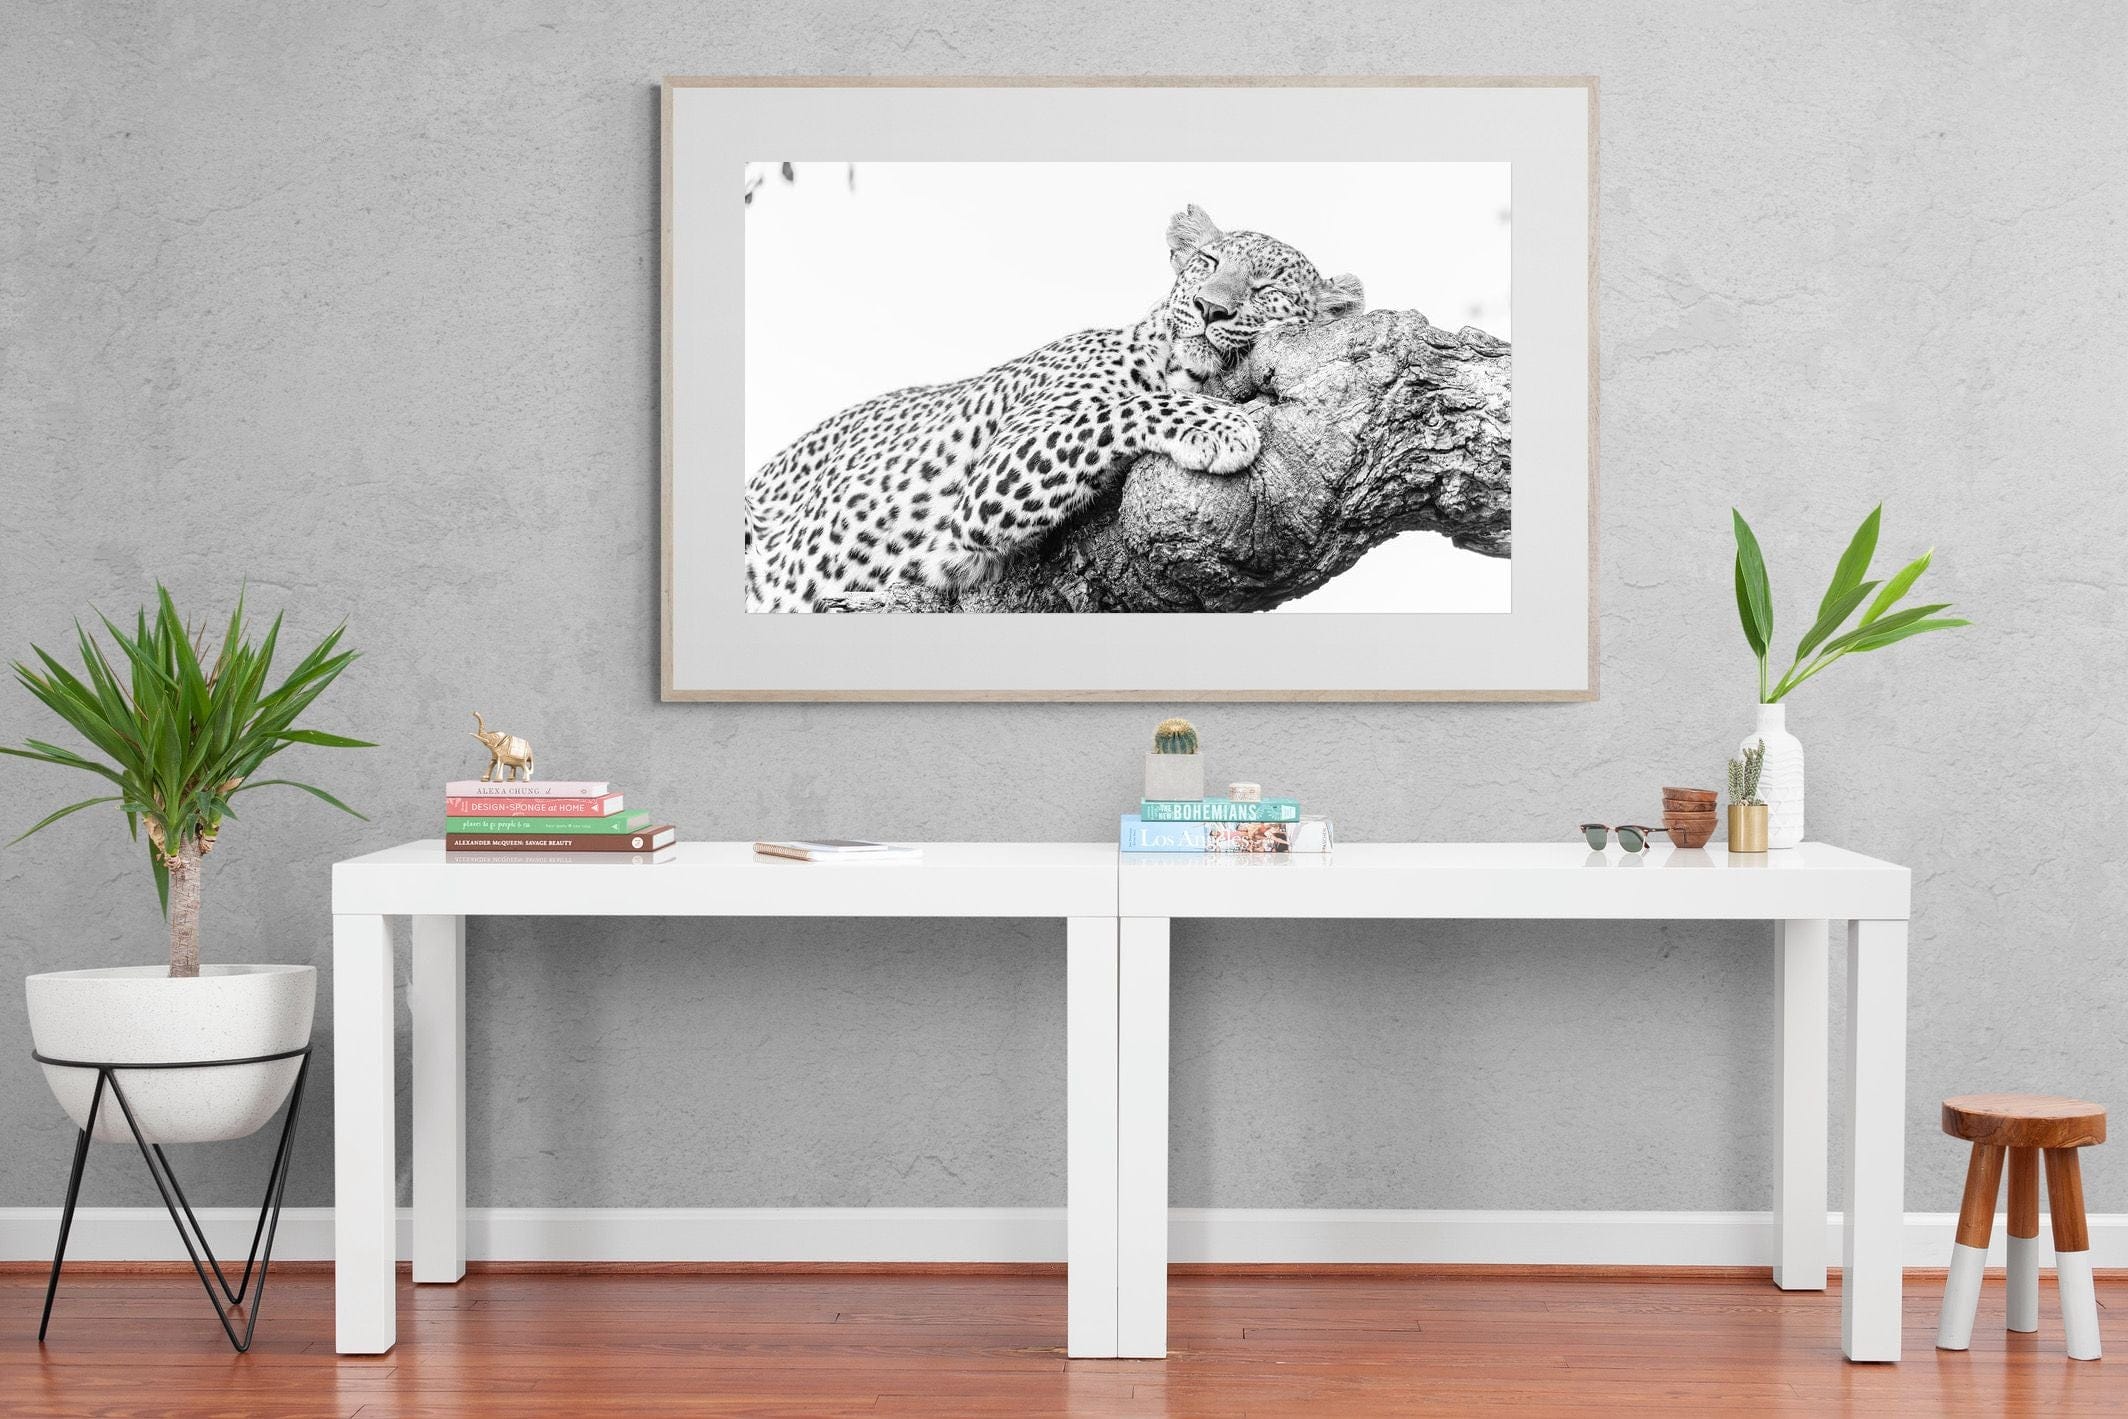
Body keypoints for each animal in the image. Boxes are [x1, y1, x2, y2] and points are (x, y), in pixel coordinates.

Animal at [744, 205, 1364, 611]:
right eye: (1208, 262)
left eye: (1266, 289)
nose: (1209, 308)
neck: (1176, 362)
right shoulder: (989, 483)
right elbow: (1123, 407)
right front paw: (1222, 424)